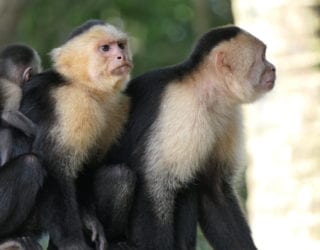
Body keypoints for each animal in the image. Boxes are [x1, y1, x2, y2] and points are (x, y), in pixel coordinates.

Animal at [0, 20, 132, 250]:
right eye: (105, 48)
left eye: (121, 46)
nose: (121, 57)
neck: (85, 87)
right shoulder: (69, 102)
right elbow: (55, 168)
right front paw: (74, 244)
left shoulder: (116, 108)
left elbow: (87, 167)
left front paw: (90, 221)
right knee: (29, 165)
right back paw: (9, 237)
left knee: (119, 175)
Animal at [99, 24, 276, 249]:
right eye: (263, 57)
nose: (273, 68)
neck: (209, 94)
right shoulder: (183, 108)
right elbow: (154, 184)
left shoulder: (228, 116)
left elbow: (213, 189)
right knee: (120, 177)